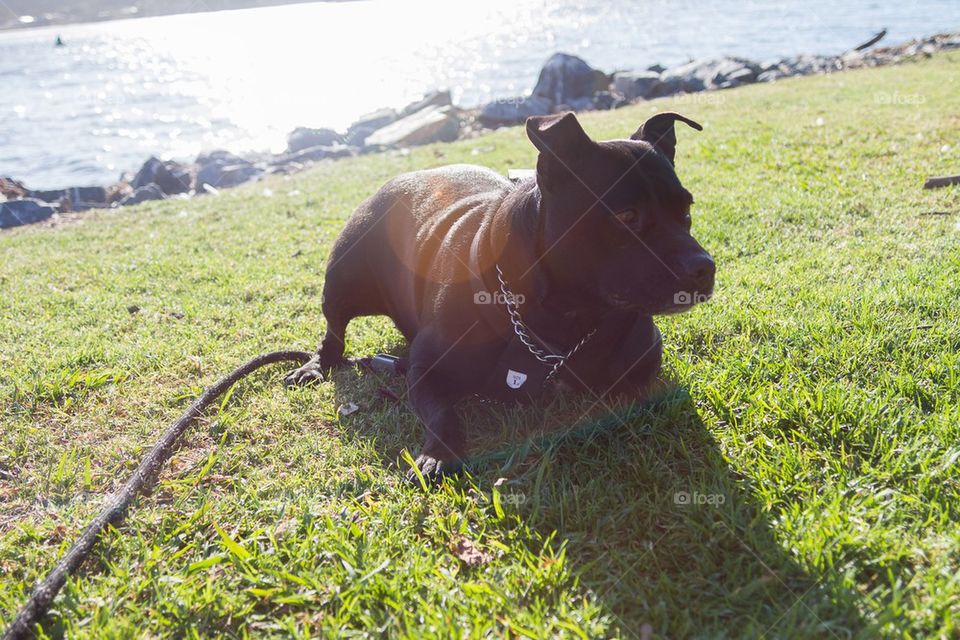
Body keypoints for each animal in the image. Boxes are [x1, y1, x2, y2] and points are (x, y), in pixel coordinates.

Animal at [284, 111, 712, 480]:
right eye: (626, 216)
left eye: (687, 210)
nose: (704, 267)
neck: (567, 315)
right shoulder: (424, 369)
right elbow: (442, 414)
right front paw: (438, 454)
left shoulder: (643, 360)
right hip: (342, 280)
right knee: (334, 332)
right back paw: (314, 366)